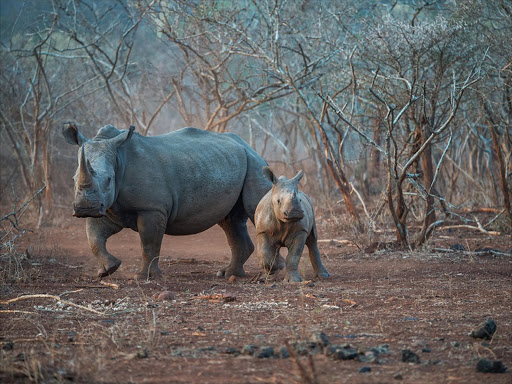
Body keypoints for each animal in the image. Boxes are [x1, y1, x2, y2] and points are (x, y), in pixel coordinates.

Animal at [63, 123, 272, 280]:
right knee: (231, 221)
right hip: (231, 163)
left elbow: (149, 243)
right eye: (73, 180)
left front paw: (144, 277)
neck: (118, 158)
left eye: (108, 180)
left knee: (254, 209)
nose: (84, 208)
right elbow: (94, 238)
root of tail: (249, 146)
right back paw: (228, 274)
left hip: (254, 164)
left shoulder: (152, 208)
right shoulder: (107, 206)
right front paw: (108, 270)